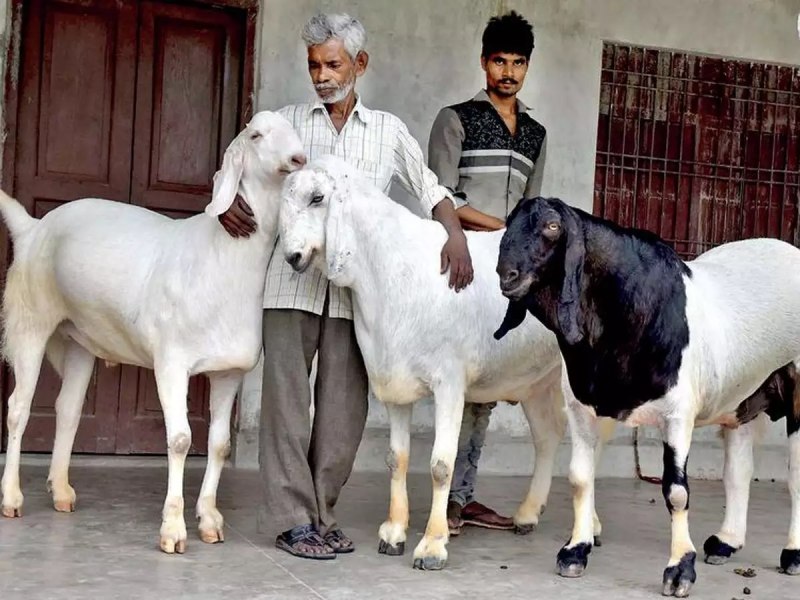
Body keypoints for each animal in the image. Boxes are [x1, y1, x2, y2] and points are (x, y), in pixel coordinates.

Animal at [0, 111, 305, 554]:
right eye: (256, 134)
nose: (299, 158)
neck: (221, 257)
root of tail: (33, 228)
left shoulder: (229, 372)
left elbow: (219, 444)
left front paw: (209, 519)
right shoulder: (172, 362)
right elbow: (179, 440)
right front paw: (173, 529)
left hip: (79, 338)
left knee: (68, 409)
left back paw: (61, 491)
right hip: (31, 320)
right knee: (18, 408)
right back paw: (11, 497)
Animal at [278, 155, 583, 571]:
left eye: (317, 197)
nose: (292, 257)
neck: (390, 270)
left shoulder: (449, 383)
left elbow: (441, 465)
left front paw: (433, 545)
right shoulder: (394, 382)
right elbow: (397, 458)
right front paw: (393, 533)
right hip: (538, 380)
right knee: (548, 434)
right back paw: (527, 514)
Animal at [495, 196, 800, 597]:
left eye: (552, 226)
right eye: (509, 222)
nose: (507, 275)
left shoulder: (678, 415)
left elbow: (676, 491)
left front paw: (680, 569)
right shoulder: (581, 408)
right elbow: (579, 476)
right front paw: (575, 551)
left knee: (795, 475)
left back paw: (793, 553)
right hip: (745, 396)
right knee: (739, 468)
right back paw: (726, 541)